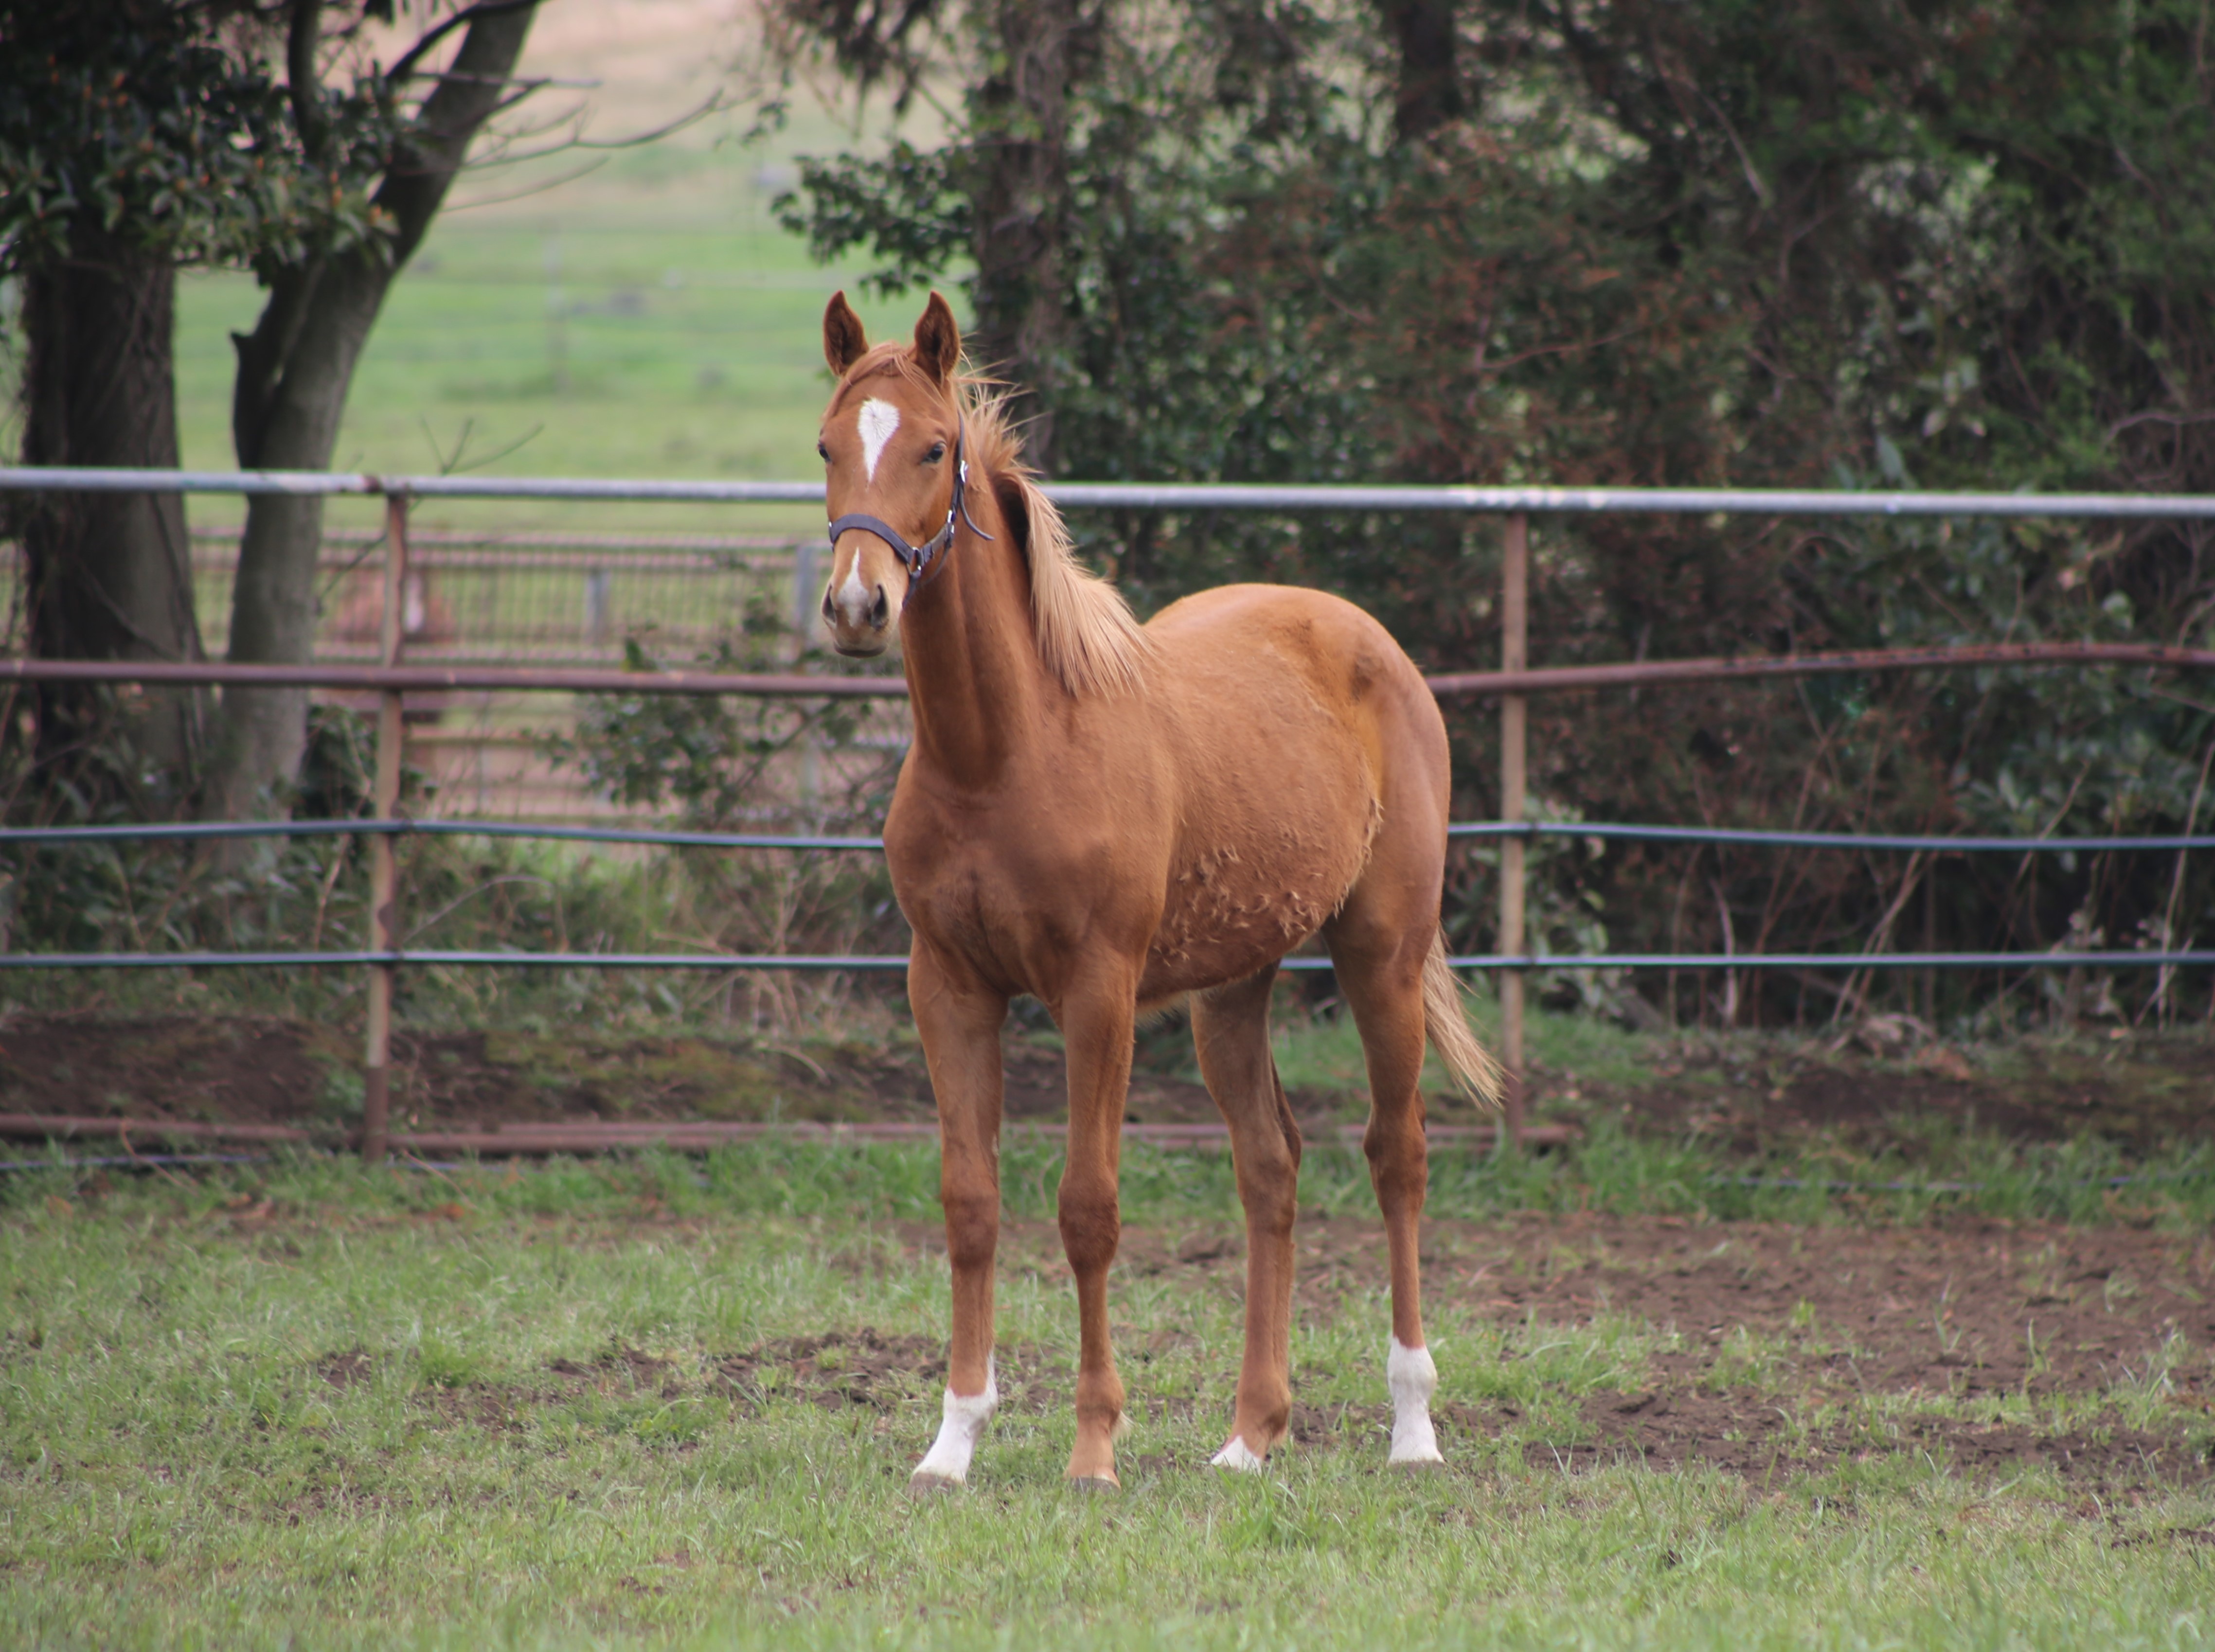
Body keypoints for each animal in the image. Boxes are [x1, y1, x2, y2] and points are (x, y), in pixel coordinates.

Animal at [819, 290, 1506, 1488]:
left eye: (934, 447)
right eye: (825, 447)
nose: (860, 604)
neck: (1003, 752)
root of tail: (1365, 640)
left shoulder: (1098, 994)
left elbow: (1087, 1209)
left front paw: (1094, 1447)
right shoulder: (946, 989)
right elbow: (970, 1205)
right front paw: (952, 1441)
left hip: (1381, 955)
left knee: (1398, 1157)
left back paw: (1412, 1427)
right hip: (1232, 988)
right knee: (1270, 1167)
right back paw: (1248, 1436)